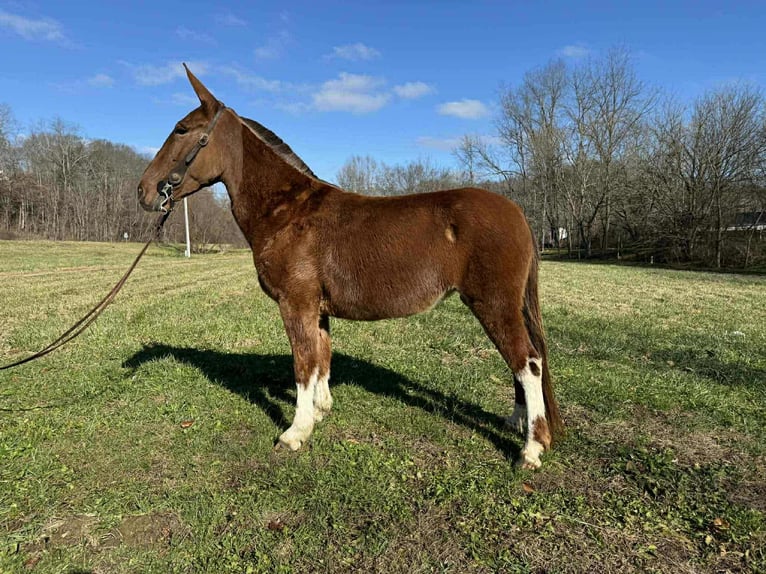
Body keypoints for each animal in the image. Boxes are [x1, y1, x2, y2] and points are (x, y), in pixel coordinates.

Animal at [137, 65, 563, 469]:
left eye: (181, 129)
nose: (144, 190)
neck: (287, 211)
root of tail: (517, 212)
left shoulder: (296, 304)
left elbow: (303, 364)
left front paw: (296, 432)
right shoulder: (317, 309)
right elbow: (321, 358)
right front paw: (320, 411)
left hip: (493, 304)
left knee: (528, 363)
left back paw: (531, 449)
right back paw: (517, 422)